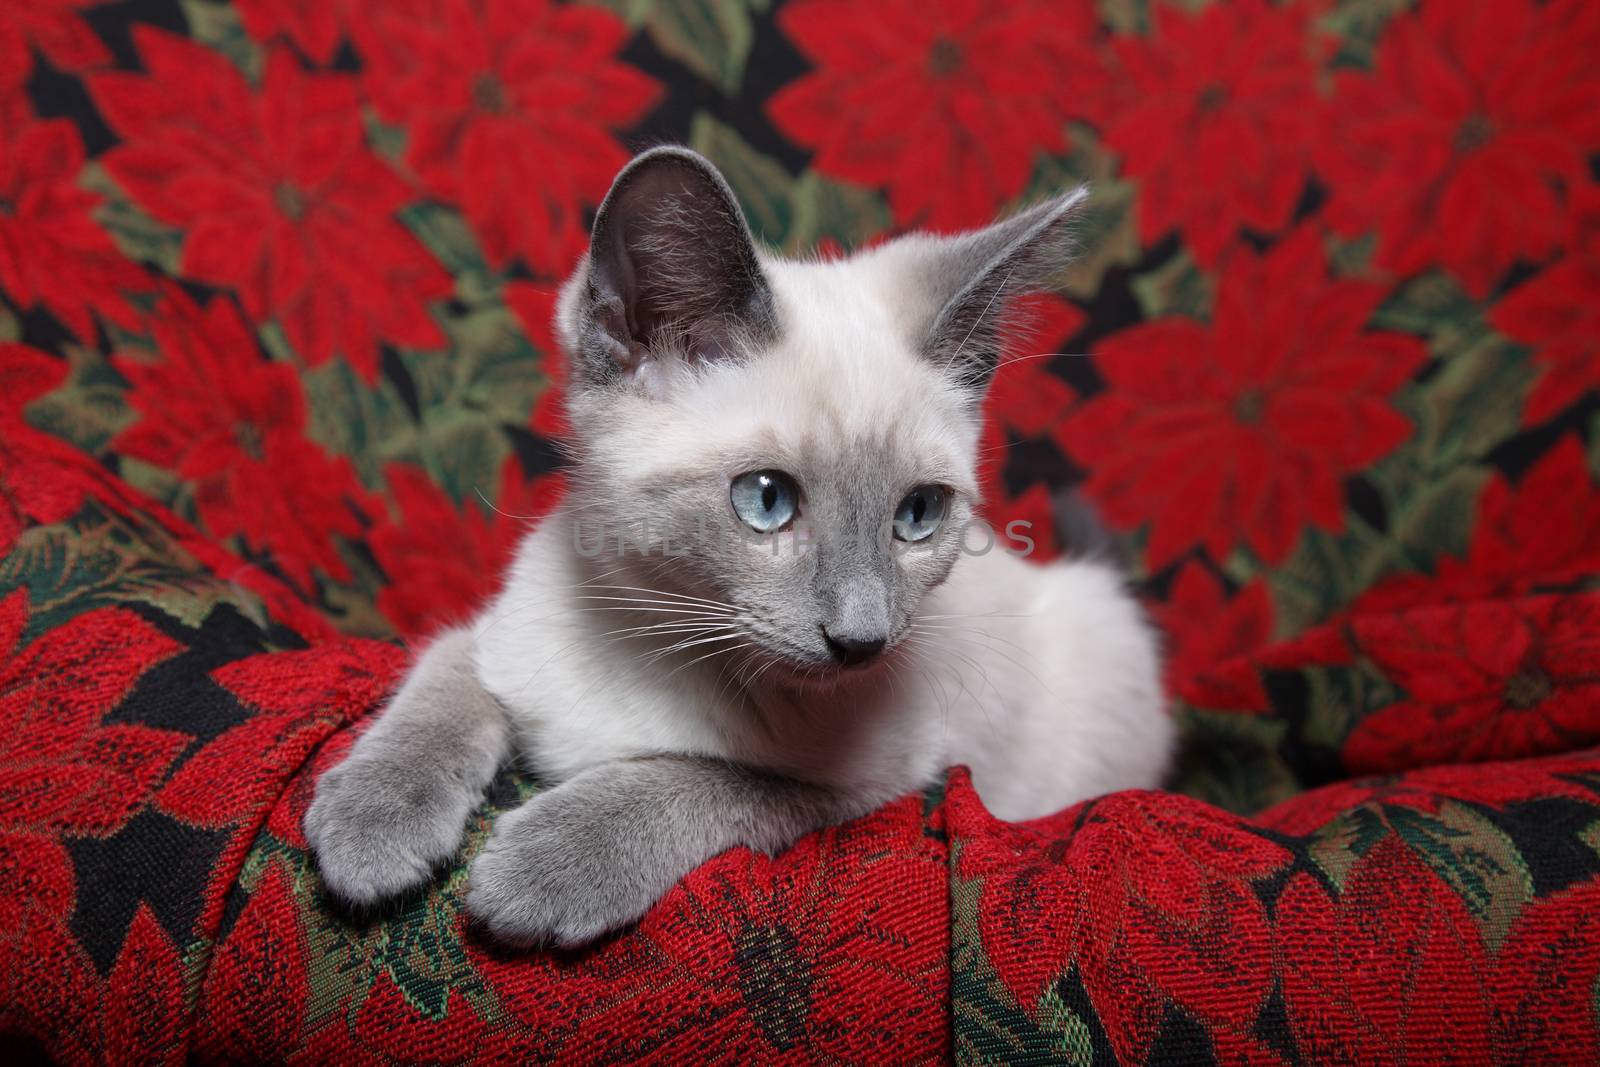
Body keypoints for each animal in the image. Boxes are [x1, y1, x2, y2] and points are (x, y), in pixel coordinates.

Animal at [302, 146, 1177, 947]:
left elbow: (704, 778)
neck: (654, 634)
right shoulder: (497, 640)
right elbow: (439, 689)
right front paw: (369, 832)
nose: (862, 640)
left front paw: (542, 868)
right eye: (766, 500)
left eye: (918, 514)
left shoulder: (880, 785)